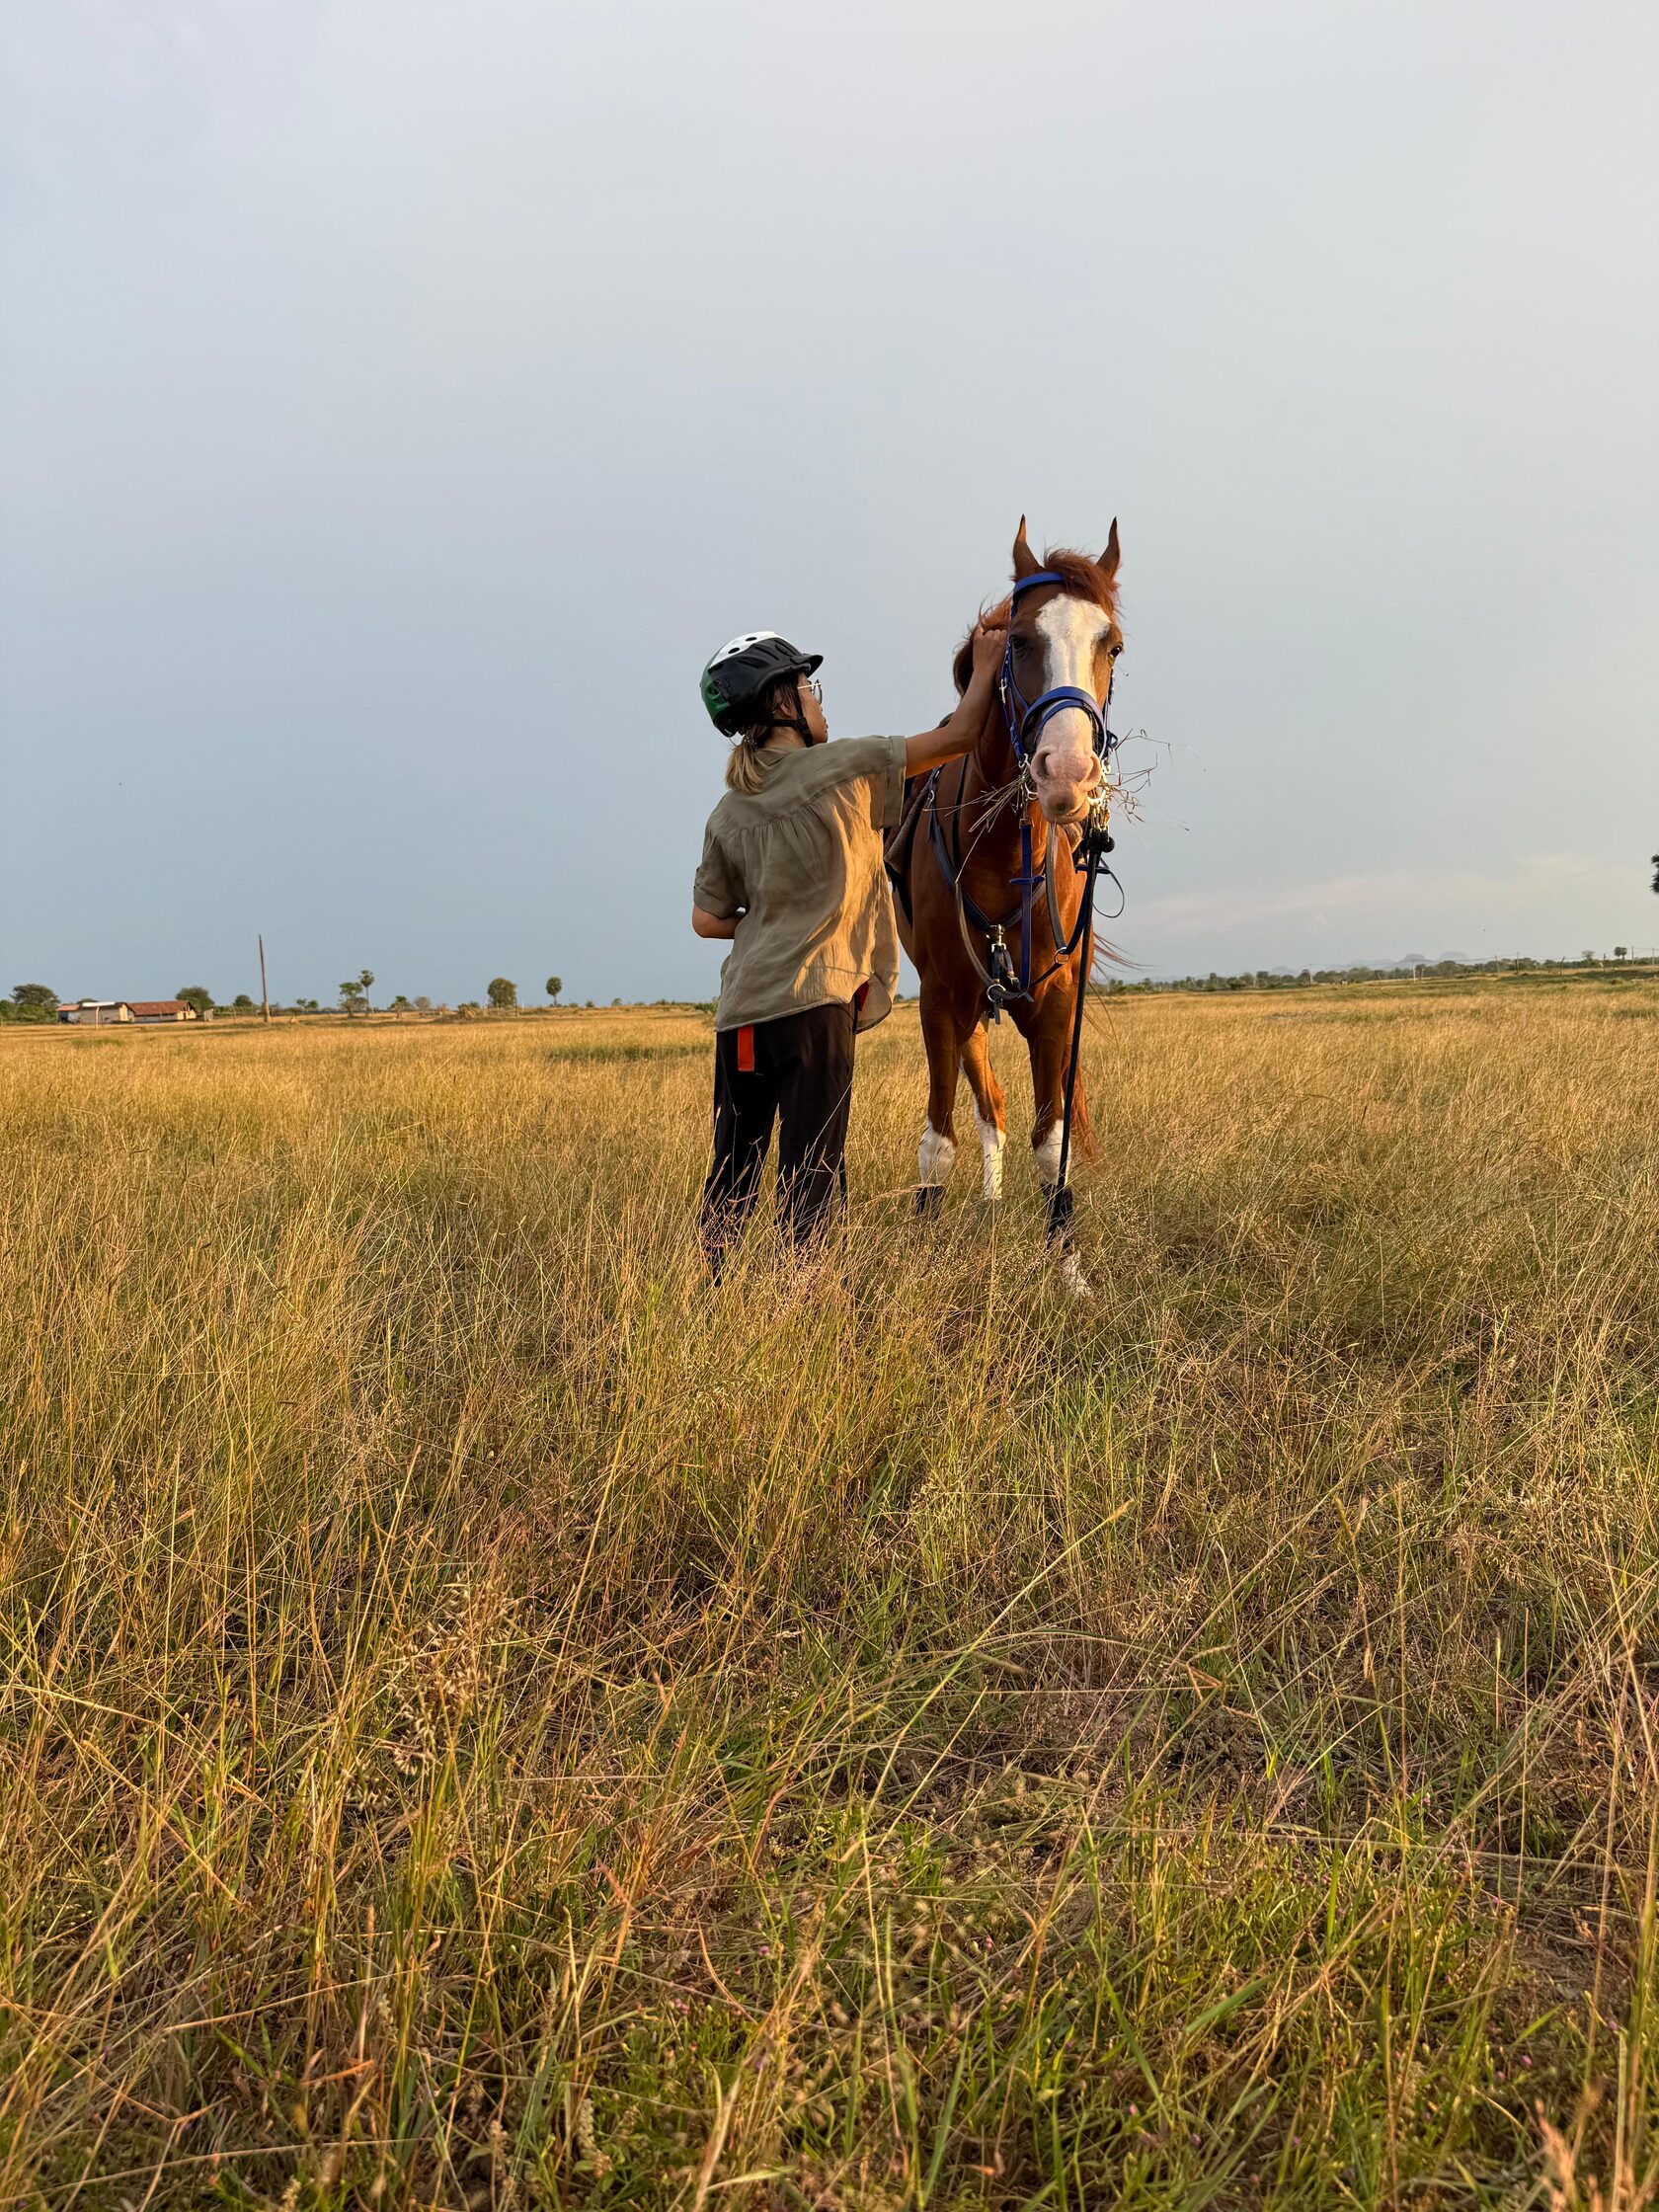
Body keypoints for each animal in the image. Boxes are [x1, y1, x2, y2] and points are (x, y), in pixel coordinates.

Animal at [888, 517, 1122, 1223]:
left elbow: (1052, 1144)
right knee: (986, 1102)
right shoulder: (940, 1001)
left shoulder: (1056, 1002)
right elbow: (937, 1146)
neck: (998, 855)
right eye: (1018, 641)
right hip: (969, 1007)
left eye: (1113, 646)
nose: (1067, 772)